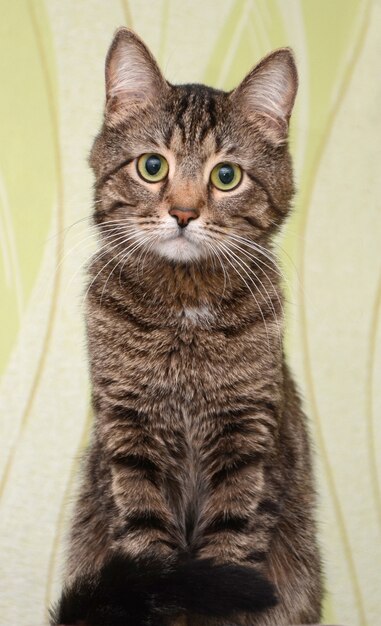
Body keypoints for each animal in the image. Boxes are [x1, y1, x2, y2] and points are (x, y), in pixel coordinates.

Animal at [50, 26, 322, 624]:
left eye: (226, 176)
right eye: (153, 167)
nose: (183, 213)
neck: (184, 309)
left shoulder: (247, 436)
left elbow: (228, 549)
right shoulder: (129, 435)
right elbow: (151, 551)